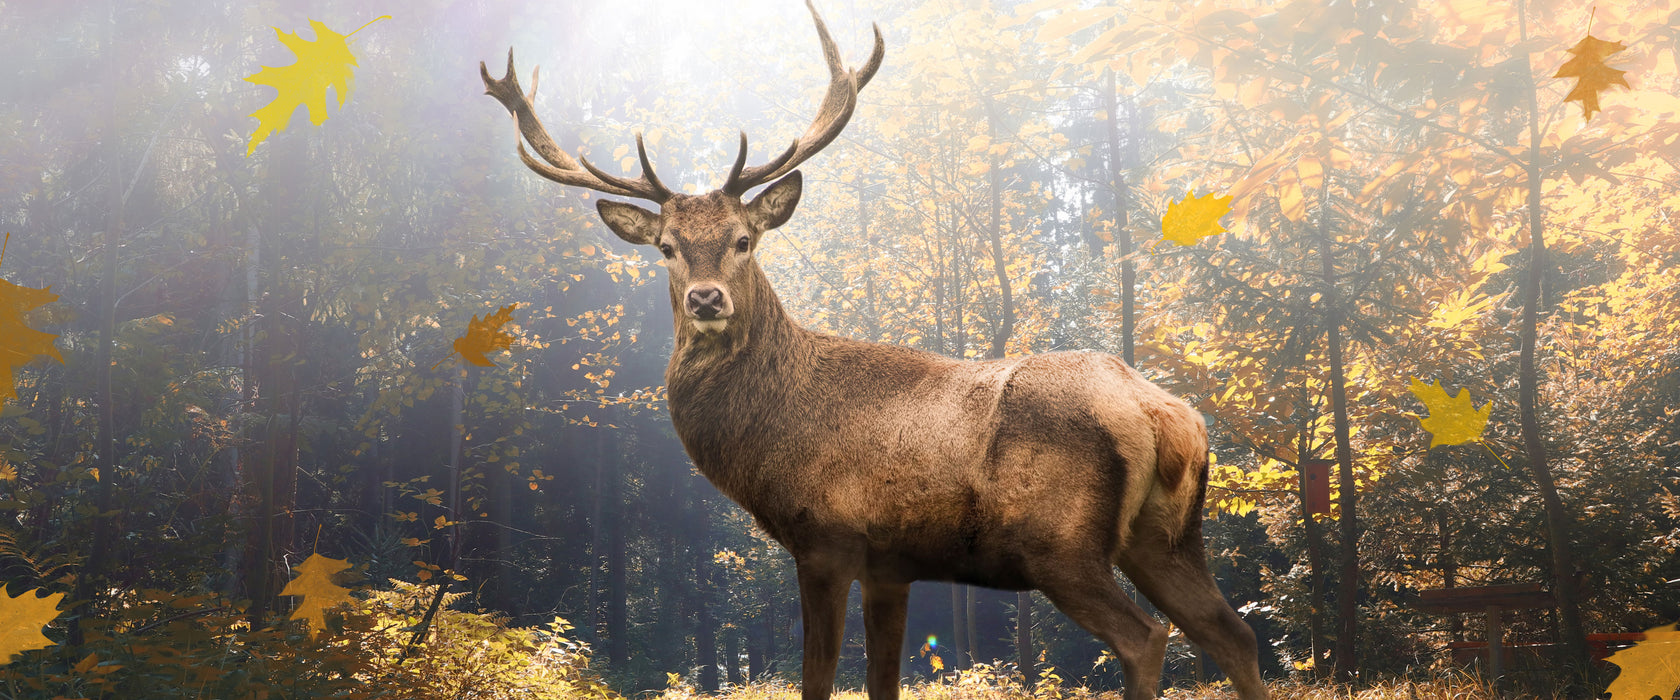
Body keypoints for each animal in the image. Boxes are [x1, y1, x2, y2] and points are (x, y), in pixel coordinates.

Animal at [480, 2, 1263, 694]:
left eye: (743, 239)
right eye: (668, 247)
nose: (706, 299)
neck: (767, 438)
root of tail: (1164, 414)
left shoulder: (826, 537)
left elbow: (820, 678)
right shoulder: (894, 563)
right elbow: (884, 677)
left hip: (1060, 542)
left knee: (1146, 638)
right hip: (1167, 536)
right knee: (1233, 633)